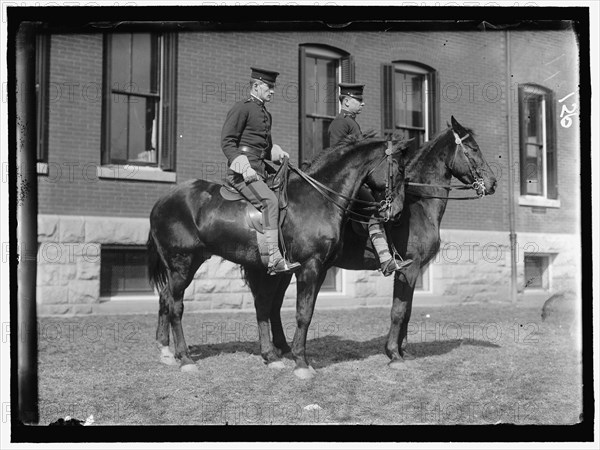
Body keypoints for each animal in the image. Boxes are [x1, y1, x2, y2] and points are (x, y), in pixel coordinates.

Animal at [147, 136, 406, 376]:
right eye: (399, 169)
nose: (397, 212)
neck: (318, 197)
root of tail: (162, 200)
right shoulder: (308, 268)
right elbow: (302, 313)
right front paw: (301, 362)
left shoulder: (317, 270)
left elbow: (282, 309)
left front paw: (276, 355)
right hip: (182, 264)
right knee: (176, 306)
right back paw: (184, 357)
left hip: (188, 264)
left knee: (165, 298)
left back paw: (166, 350)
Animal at [270, 116, 500, 376]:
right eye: (473, 148)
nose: (492, 183)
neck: (419, 204)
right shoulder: (409, 268)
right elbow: (399, 312)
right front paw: (394, 354)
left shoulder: (414, 270)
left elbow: (407, 311)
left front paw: (404, 351)